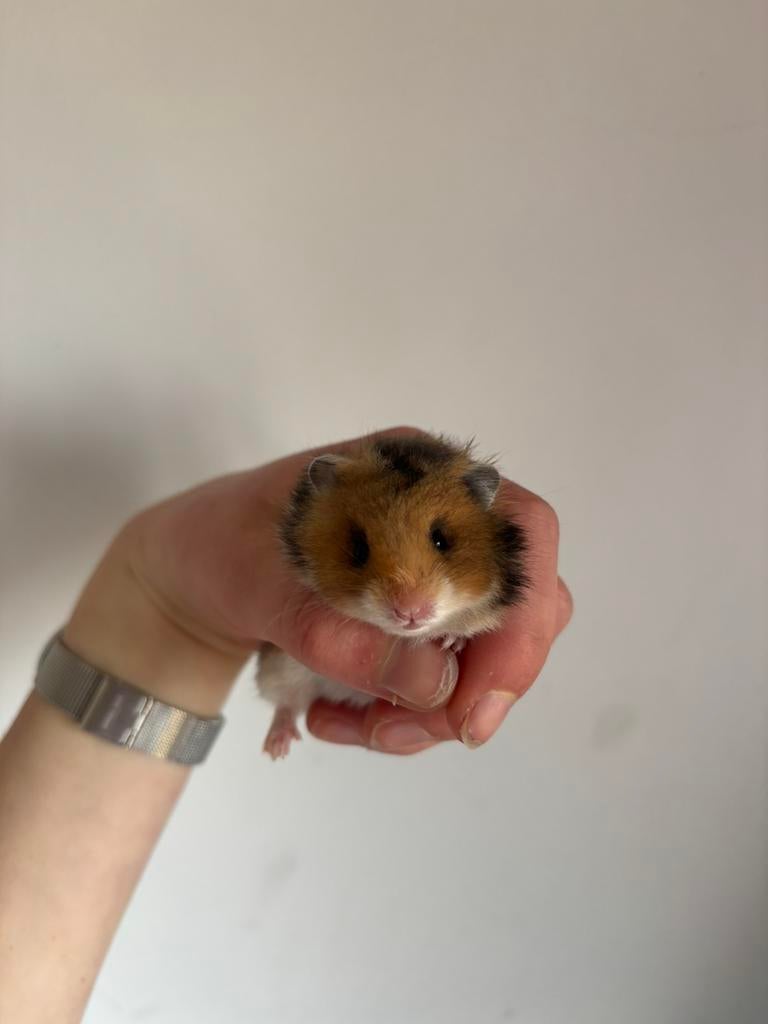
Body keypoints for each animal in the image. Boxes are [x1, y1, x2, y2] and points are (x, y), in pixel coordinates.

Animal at [258, 433, 527, 758]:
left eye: (441, 540)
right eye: (358, 547)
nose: (410, 612)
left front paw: (450, 642)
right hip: (280, 669)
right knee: (286, 703)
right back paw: (275, 749)